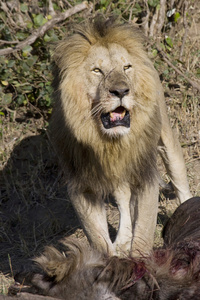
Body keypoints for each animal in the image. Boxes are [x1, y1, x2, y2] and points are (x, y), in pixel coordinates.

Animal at [49, 18, 191, 255]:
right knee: (123, 197)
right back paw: (123, 240)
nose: (122, 91)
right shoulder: (81, 186)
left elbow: (143, 234)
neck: (107, 142)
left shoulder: (145, 175)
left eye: (126, 67)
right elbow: (98, 239)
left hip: (166, 137)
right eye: (97, 70)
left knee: (179, 178)